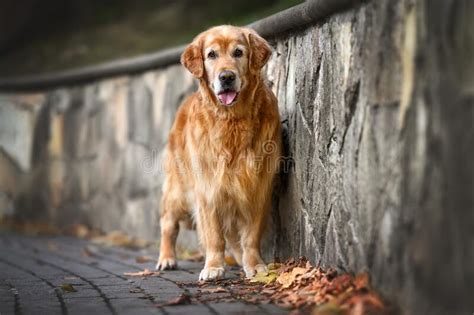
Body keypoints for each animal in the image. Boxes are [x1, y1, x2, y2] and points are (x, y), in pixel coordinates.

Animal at [156, 25, 282, 282]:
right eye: (211, 55)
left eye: (238, 53)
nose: (226, 77)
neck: (232, 121)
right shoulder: (208, 190)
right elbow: (214, 236)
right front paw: (213, 266)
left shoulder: (256, 188)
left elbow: (251, 236)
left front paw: (254, 265)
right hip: (177, 191)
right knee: (168, 224)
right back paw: (167, 258)